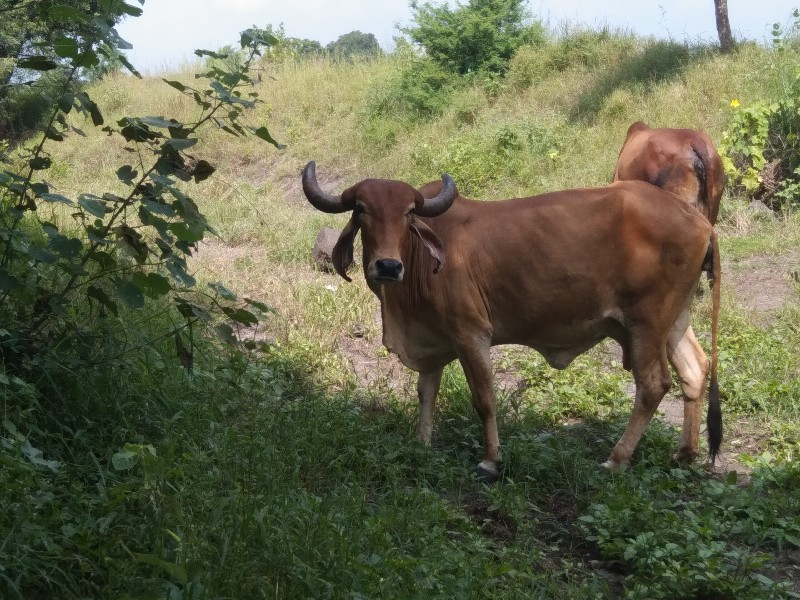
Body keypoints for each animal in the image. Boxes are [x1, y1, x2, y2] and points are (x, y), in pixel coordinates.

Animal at [304, 161, 720, 482]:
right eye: (361, 209)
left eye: (408, 213)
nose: (388, 266)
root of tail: (700, 222)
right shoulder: (433, 339)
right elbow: (427, 392)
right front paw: (421, 442)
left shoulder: (470, 334)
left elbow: (484, 399)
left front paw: (490, 460)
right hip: (674, 320)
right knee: (694, 370)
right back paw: (684, 454)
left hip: (645, 324)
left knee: (653, 384)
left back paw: (616, 460)